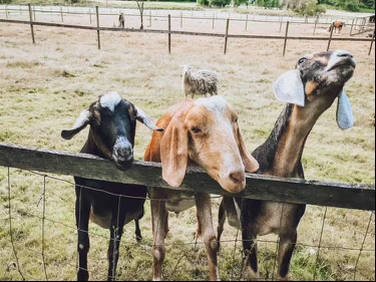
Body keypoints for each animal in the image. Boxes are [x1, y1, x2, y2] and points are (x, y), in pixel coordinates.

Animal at [61, 92, 162, 280]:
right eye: (95, 118)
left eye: (133, 116)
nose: (124, 153)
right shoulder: (82, 197)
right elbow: (82, 243)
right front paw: (82, 275)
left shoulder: (119, 203)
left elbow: (113, 249)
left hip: (140, 209)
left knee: (137, 219)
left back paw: (138, 237)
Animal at [217, 50, 356, 280]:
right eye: (303, 60)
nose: (347, 56)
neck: (280, 175)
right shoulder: (249, 230)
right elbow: (253, 272)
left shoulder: (290, 233)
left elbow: (282, 273)